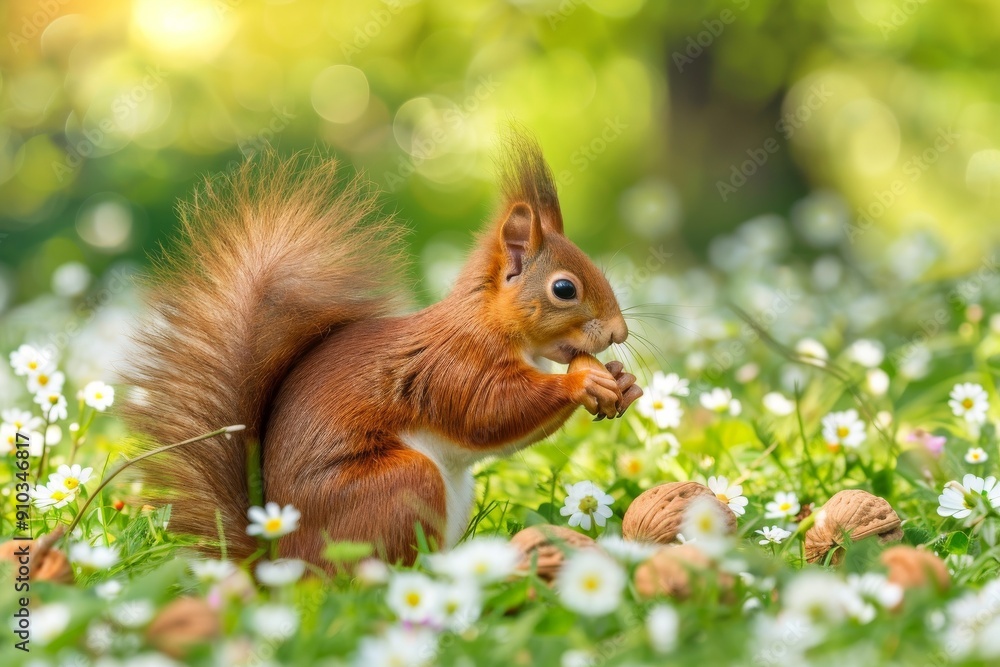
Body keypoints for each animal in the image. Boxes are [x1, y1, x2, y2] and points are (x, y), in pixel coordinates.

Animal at [122, 132, 642, 567]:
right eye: (564, 289)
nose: (619, 333)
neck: (491, 324)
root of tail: (278, 564)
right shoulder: (453, 364)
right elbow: (488, 412)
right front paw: (584, 380)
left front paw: (625, 382)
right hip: (398, 486)